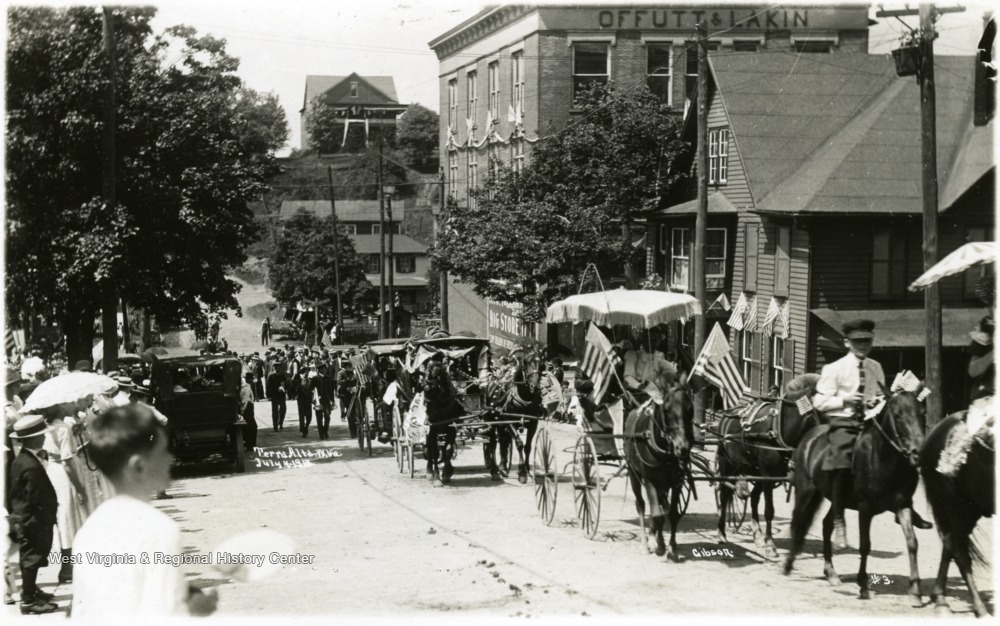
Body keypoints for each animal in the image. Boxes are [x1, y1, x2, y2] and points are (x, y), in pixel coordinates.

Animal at [624, 365, 695, 561]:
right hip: (634, 474)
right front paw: (660, 546)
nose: (682, 447)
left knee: (662, 505)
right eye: (668, 409)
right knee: (641, 505)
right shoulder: (649, 480)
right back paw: (645, 543)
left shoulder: (677, 481)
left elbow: (671, 514)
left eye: (690, 408)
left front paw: (672, 548)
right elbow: (657, 515)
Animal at [714, 373, 822, 557]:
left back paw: (757, 535)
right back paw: (721, 532)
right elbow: (769, 510)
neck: (779, 429)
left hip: (758, 474)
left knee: (753, 498)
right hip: (726, 463)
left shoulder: (776, 475)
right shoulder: (768, 474)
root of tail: (728, 412)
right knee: (725, 494)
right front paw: (770, 544)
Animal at [782, 387, 926, 605]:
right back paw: (788, 565)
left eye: (922, 413)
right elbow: (865, 545)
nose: (918, 453)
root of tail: (809, 438)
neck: (883, 458)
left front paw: (916, 591)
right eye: (897, 415)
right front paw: (864, 586)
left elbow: (912, 543)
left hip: (835, 500)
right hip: (806, 491)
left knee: (827, 525)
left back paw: (831, 572)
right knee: (798, 522)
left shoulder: (903, 505)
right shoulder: (865, 509)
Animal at [919, 412, 995, 617]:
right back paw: (979, 609)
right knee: (959, 553)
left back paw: (940, 598)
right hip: (956, 506)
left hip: (970, 509)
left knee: (949, 543)